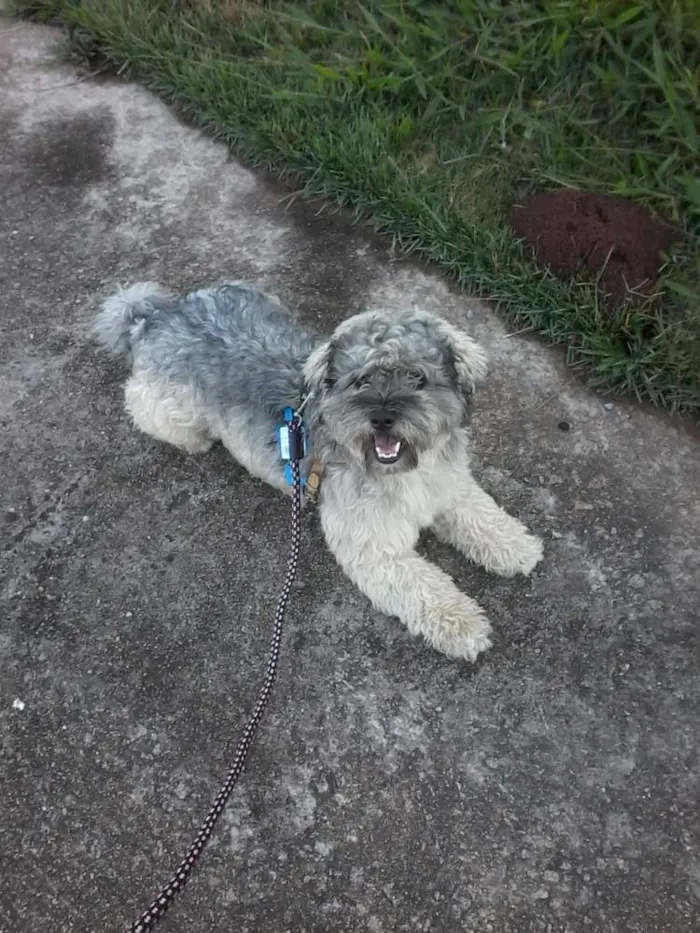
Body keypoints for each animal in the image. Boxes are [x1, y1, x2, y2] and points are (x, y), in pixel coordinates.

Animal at [91, 280, 540, 660]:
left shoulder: (448, 487)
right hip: (171, 414)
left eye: (417, 377)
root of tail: (159, 315)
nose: (382, 418)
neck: (403, 470)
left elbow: (481, 515)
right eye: (361, 381)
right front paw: (463, 624)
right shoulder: (375, 549)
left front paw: (515, 546)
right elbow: (426, 588)